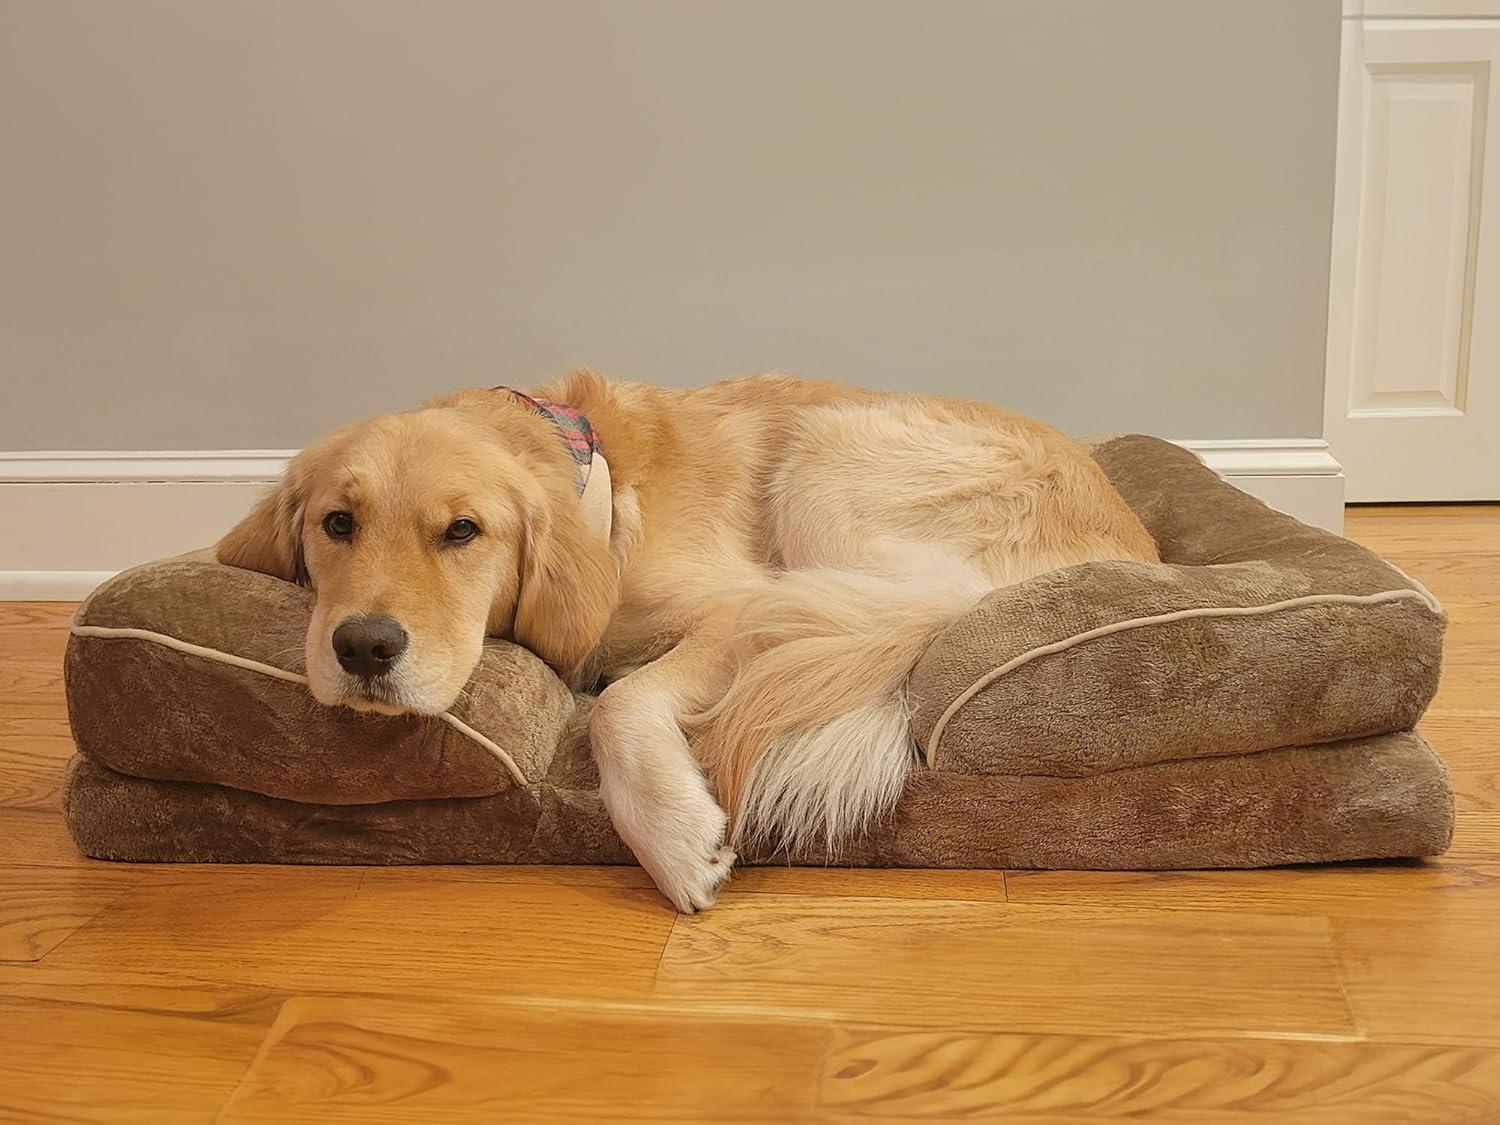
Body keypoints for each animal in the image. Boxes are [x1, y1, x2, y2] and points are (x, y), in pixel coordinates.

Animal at [217, 371, 1158, 911]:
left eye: (462, 531)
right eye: (337, 523)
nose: (363, 648)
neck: (590, 483)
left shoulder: (734, 603)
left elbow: (621, 705)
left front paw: (672, 839)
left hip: (826, 455)